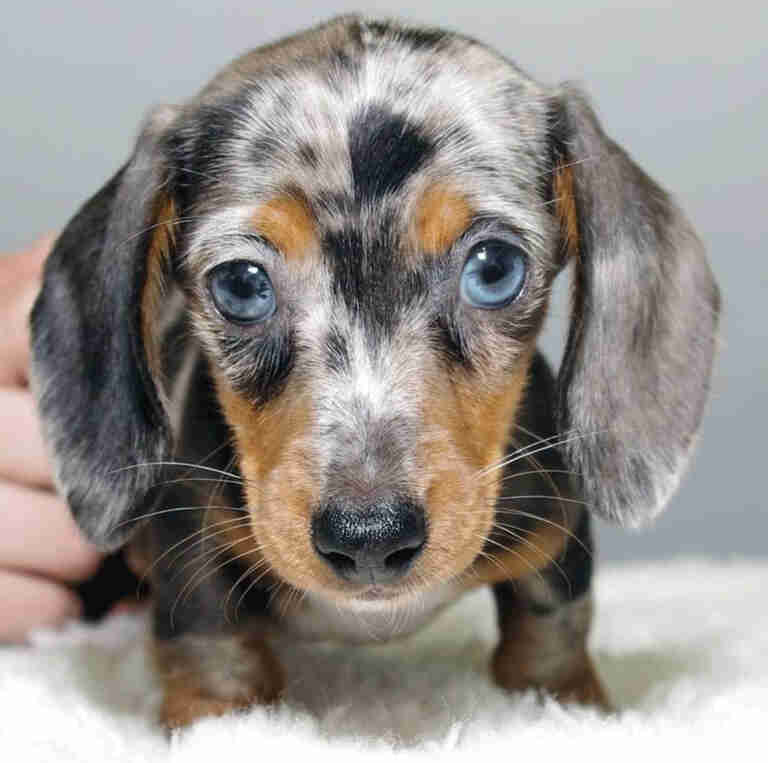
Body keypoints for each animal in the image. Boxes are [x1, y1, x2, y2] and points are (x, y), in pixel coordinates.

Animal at [30, 13, 720, 728]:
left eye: (495, 268)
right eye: (242, 284)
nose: (369, 538)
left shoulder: (556, 528)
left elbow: (552, 623)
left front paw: (564, 700)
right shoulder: (189, 540)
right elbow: (208, 645)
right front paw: (219, 716)